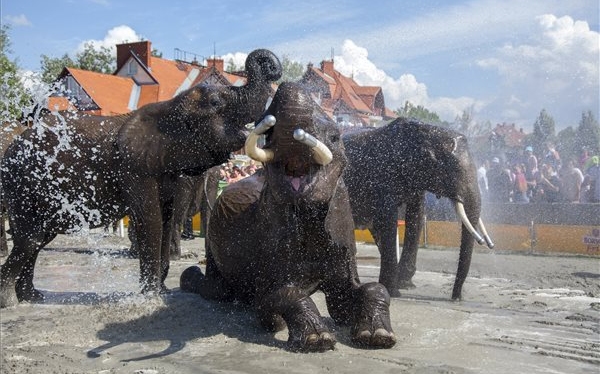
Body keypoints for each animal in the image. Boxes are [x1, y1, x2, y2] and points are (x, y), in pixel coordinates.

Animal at [0, 49, 282, 306]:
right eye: (215, 103)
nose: (273, 68)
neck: (167, 107)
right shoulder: (135, 167)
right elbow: (151, 219)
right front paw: (150, 296)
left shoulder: (165, 166)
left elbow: (166, 218)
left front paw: (162, 291)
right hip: (21, 184)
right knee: (30, 237)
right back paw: (11, 301)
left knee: (38, 238)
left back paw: (31, 297)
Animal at [180, 82, 396, 350]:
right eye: (268, 137)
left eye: (335, 137)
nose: (288, 85)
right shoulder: (271, 241)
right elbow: (277, 295)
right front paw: (314, 339)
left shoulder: (341, 231)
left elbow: (353, 299)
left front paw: (377, 336)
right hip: (212, 243)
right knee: (216, 289)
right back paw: (190, 277)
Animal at [342, 120, 492, 300]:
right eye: (453, 170)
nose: (456, 298)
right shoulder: (382, 177)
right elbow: (389, 221)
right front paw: (394, 292)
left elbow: (417, 217)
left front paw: (406, 285)